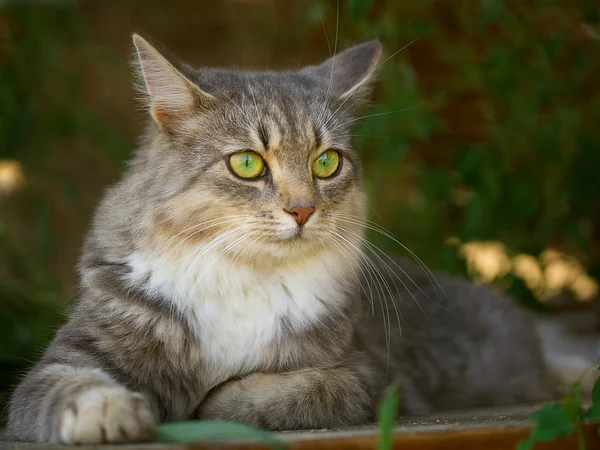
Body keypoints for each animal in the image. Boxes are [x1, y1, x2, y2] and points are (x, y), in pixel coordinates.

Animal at [5, 34, 556, 442]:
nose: (302, 210)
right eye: (248, 164)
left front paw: (210, 403)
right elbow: (73, 386)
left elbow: (281, 392)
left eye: (326, 162)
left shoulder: (364, 373)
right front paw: (112, 413)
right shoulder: (69, 358)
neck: (243, 277)